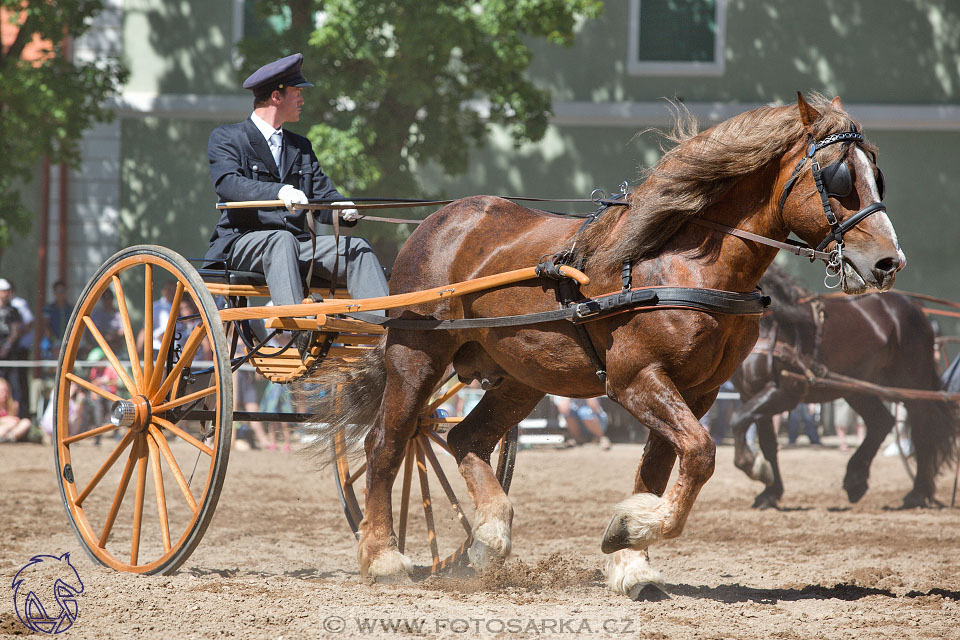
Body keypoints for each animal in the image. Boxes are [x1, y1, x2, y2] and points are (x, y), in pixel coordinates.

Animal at [306, 95, 900, 600]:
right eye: (838, 176)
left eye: (878, 174)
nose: (888, 263)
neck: (683, 266)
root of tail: (440, 220)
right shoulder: (637, 378)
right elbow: (700, 453)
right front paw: (631, 530)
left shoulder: (697, 391)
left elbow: (662, 467)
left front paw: (631, 556)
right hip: (417, 355)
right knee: (388, 442)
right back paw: (383, 556)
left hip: (521, 376)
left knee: (463, 437)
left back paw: (489, 537)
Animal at [732, 262, 956, 508]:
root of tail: (915, 307)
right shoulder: (751, 393)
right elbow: (767, 443)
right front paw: (770, 492)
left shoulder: (785, 391)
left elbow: (738, 420)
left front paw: (753, 466)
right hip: (857, 387)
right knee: (881, 422)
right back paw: (856, 480)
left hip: (910, 383)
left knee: (921, 427)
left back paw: (916, 493)